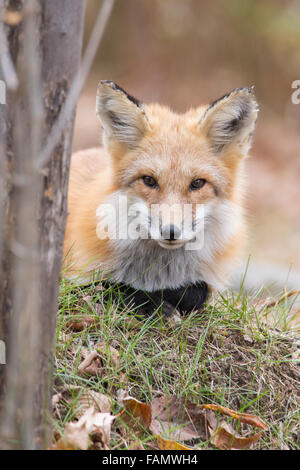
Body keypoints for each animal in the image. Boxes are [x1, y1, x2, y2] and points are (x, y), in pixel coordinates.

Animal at [64, 80, 258, 316]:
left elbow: (197, 291)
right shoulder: (68, 281)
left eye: (197, 183)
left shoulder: (206, 281)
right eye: (149, 180)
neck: (159, 271)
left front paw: (167, 298)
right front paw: (152, 303)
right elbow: (111, 286)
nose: (170, 231)